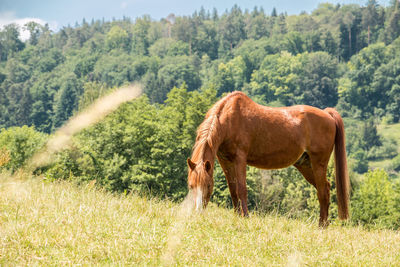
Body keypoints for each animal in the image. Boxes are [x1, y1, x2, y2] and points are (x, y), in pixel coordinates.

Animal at [186, 91, 348, 227]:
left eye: (208, 185)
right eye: (191, 185)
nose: (198, 212)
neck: (228, 119)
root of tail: (327, 114)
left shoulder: (240, 158)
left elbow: (241, 189)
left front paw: (245, 217)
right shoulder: (225, 160)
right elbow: (233, 190)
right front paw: (237, 216)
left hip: (318, 163)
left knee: (322, 192)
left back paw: (322, 225)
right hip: (306, 165)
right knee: (326, 188)